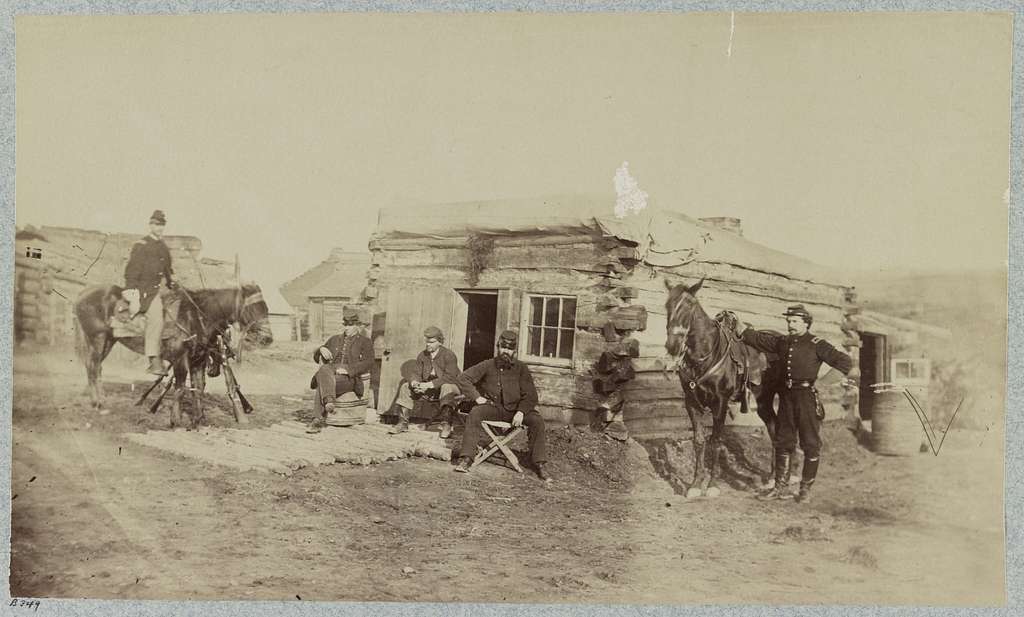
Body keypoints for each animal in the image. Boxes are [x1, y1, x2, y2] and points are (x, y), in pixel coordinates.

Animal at [74, 284, 274, 429]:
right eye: (253, 308)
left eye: (266, 309)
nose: (267, 338)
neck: (195, 317)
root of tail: (82, 294)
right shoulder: (180, 359)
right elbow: (180, 388)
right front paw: (175, 420)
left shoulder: (198, 361)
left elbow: (198, 388)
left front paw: (198, 419)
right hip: (98, 338)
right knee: (93, 366)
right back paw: (98, 402)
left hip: (109, 340)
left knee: (96, 368)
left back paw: (101, 400)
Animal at [663, 278, 774, 499]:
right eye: (668, 306)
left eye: (690, 307)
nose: (672, 345)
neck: (705, 357)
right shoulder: (692, 403)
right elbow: (699, 441)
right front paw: (695, 485)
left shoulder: (721, 404)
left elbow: (716, 441)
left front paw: (713, 485)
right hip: (764, 402)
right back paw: (774, 478)